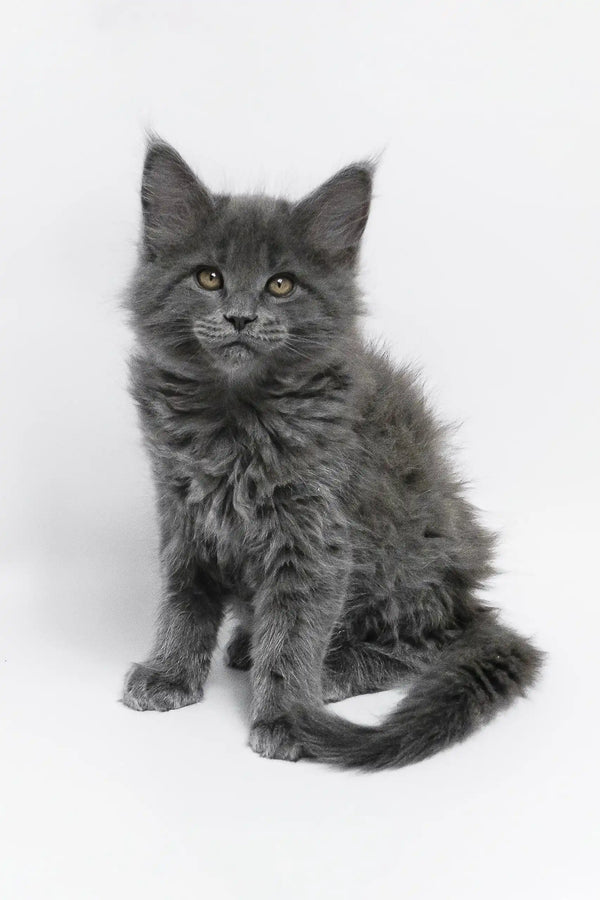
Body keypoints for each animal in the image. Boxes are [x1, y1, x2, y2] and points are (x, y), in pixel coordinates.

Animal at [122, 139, 544, 768]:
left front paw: (285, 717)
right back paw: (248, 645)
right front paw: (170, 673)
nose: (240, 317)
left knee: (425, 645)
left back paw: (329, 674)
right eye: (208, 277)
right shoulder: (183, 509)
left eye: (281, 285)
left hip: (408, 565)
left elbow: (295, 635)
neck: (234, 416)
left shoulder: (314, 534)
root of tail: (469, 596)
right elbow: (184, 600)